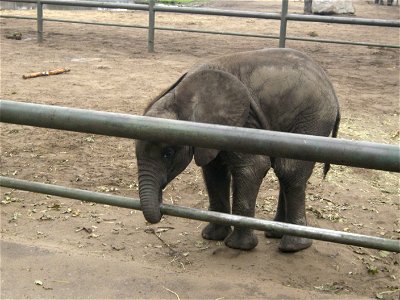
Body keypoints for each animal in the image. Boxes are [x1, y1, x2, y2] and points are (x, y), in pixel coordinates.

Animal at [136, 48, 340, 253]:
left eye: (167, 153)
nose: (160, 209)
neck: (181, 97)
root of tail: (329, 84)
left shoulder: (243, 121)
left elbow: (252, 167)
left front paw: (238, 246)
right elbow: (214, 171)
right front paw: (212, 236)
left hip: (312, 118)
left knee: (290, 170)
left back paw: (292, 246)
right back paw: (275, 234)